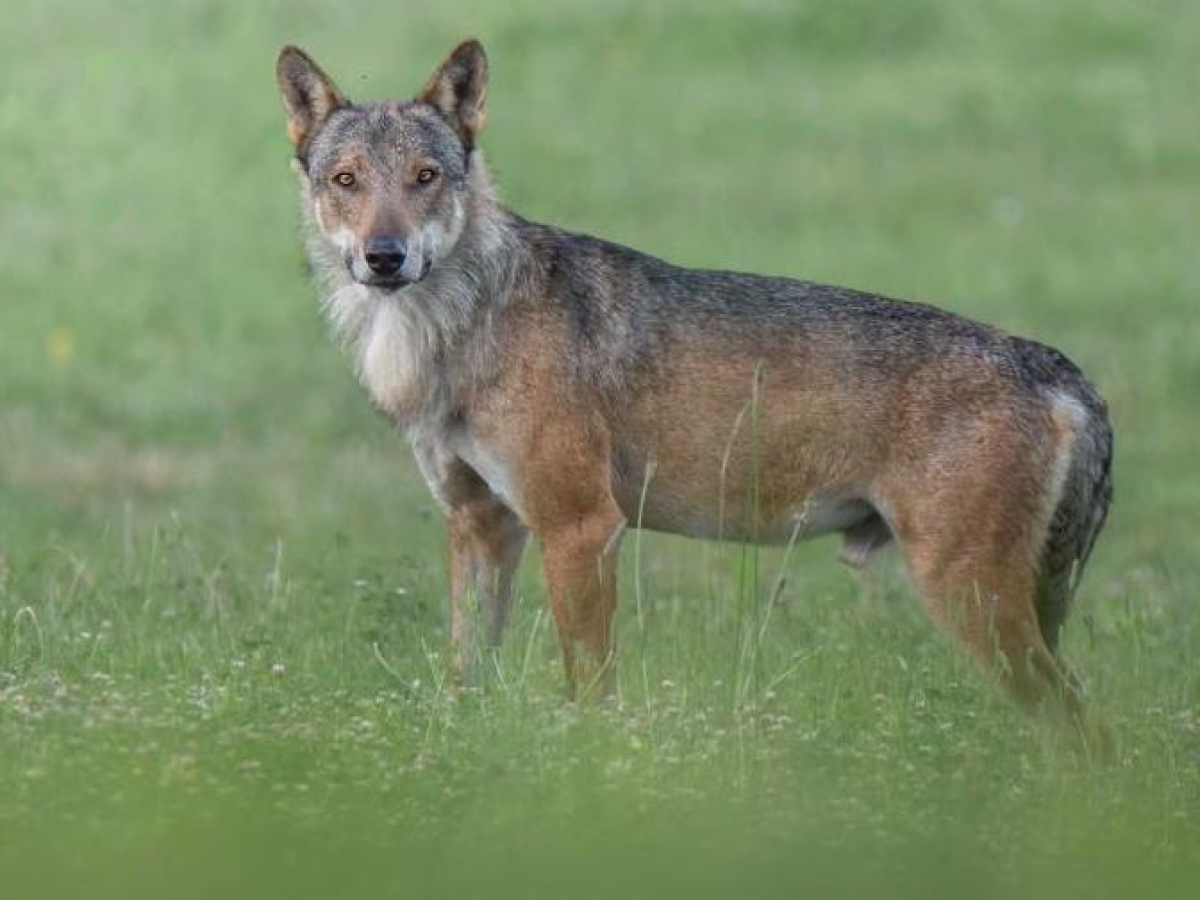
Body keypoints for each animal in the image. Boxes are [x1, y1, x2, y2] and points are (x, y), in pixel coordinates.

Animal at [276, 39, 1113, 722]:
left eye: (425, 178)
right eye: (347, 180)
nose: (385, 257)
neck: (458, 327)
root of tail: (1055, 366)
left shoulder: (581, 529)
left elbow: (589, 696)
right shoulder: (481, 526)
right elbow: (464, 684)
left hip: (969, 599)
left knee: (1086, 731)